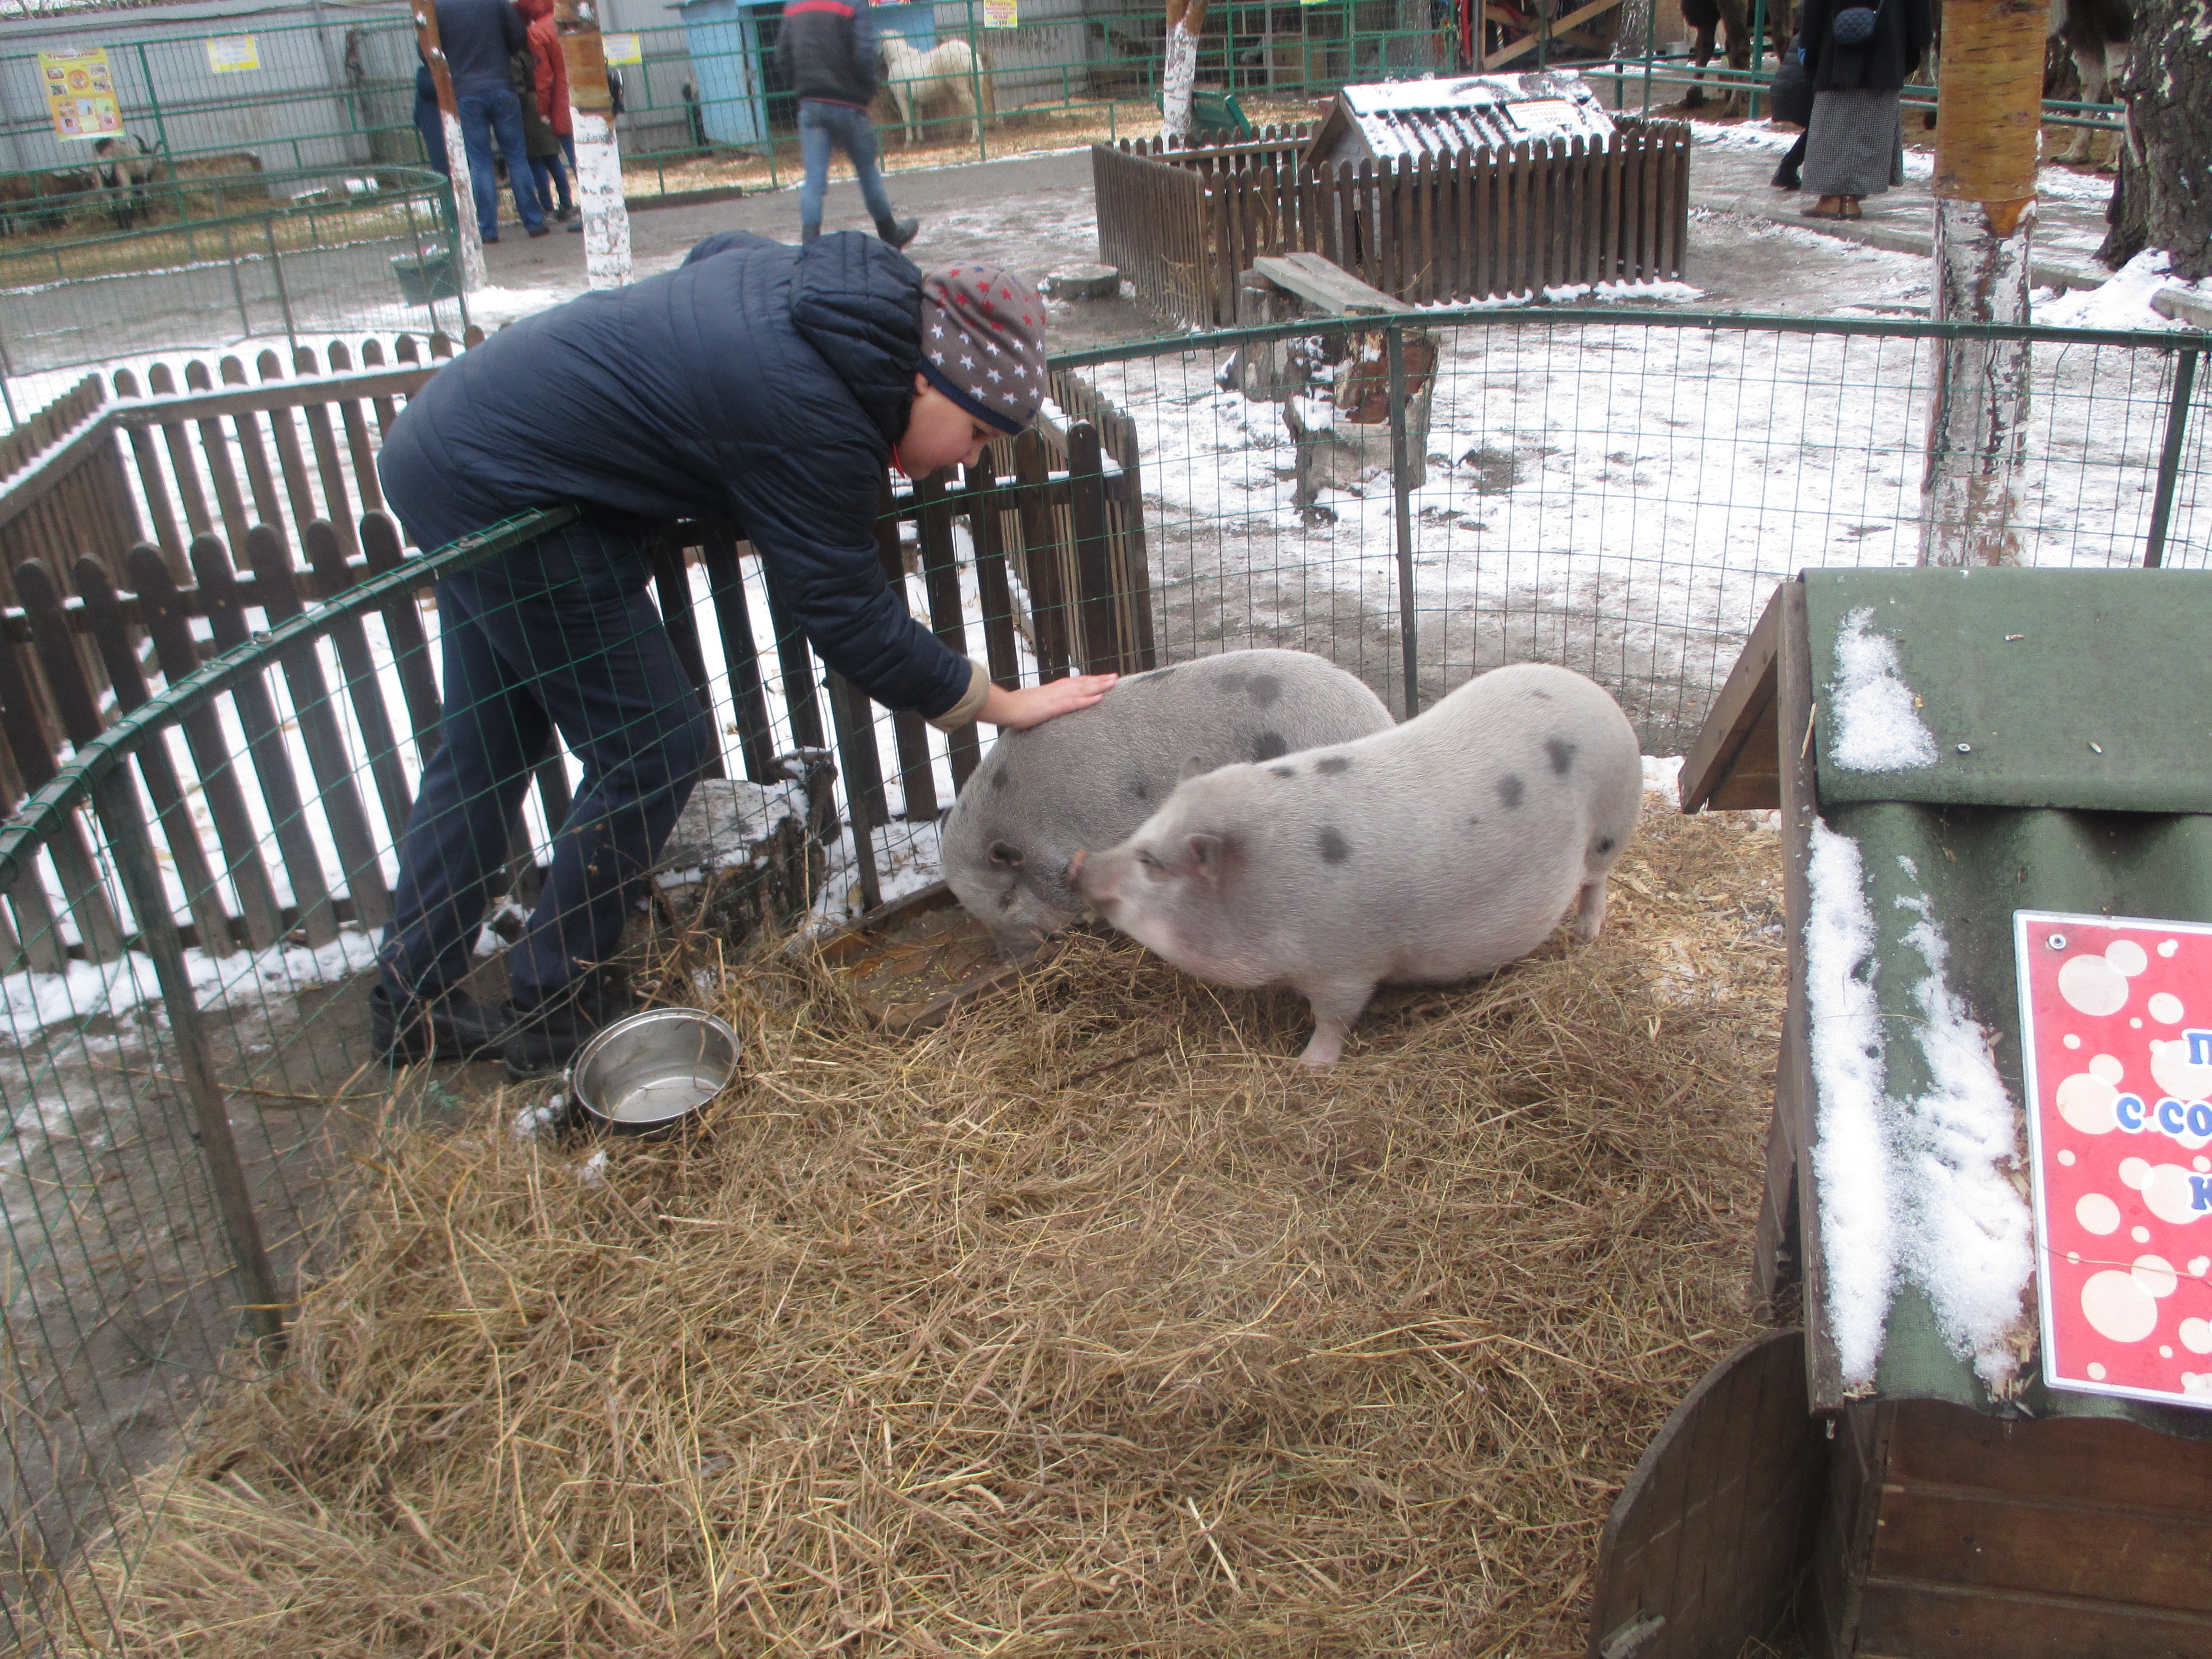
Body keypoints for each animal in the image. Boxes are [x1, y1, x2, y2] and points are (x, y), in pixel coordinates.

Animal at [876, 37, 991, 148]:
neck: (901, 58)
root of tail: (967, 51)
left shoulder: (901, 98)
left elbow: (907, 119)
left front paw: (908, 142)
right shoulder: (916, 101)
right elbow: (918, 118)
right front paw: (920, 140)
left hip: (962, 90)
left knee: (973, 107)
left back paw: (974, 137)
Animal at [1070, 663, 1646, 1066]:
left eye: (1152, 862)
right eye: (1141, 832)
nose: (1078, 865)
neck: (1265, 883)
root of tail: (1592, 689)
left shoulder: (1345, 965)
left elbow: (1335, 1019)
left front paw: (1307, 1066)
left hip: (1612, 825)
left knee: (1595, 883)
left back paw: (1586, 938)